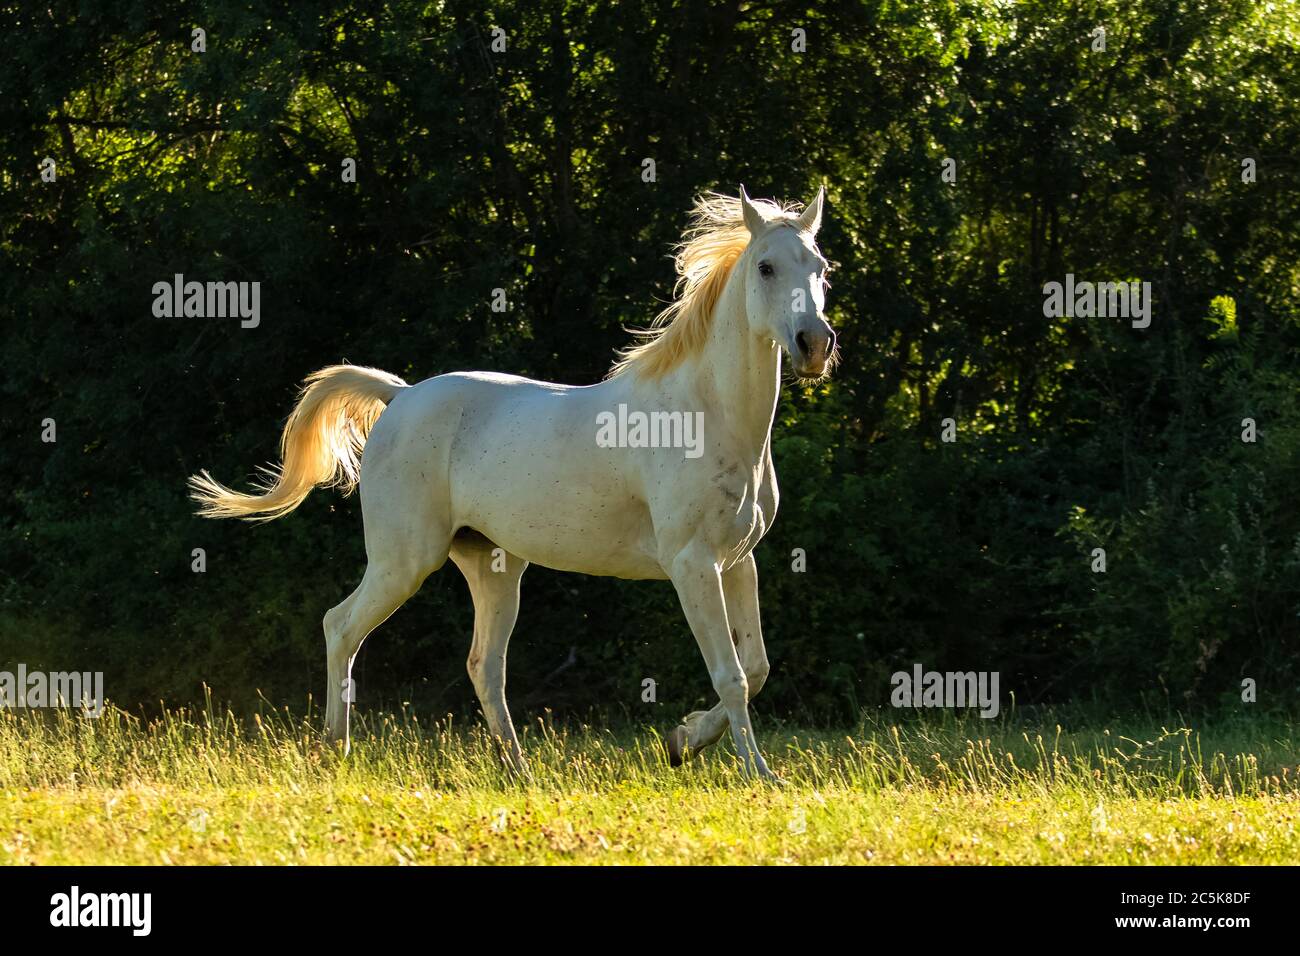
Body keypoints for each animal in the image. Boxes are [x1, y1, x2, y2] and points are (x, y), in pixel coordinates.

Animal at [189, 186, 837, 781]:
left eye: (820, 266)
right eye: (766, 266)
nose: (815, 344)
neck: (705, 414)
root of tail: (400, 396)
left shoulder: (737, 562)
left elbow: (756, 668)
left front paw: (682, 742)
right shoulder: (693, 564)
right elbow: (732, 676)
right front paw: (758, 774)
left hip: (493, 568)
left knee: (484, 666)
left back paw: (519, 772)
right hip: (404, 560)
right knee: (341, 627)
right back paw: (337, 752)